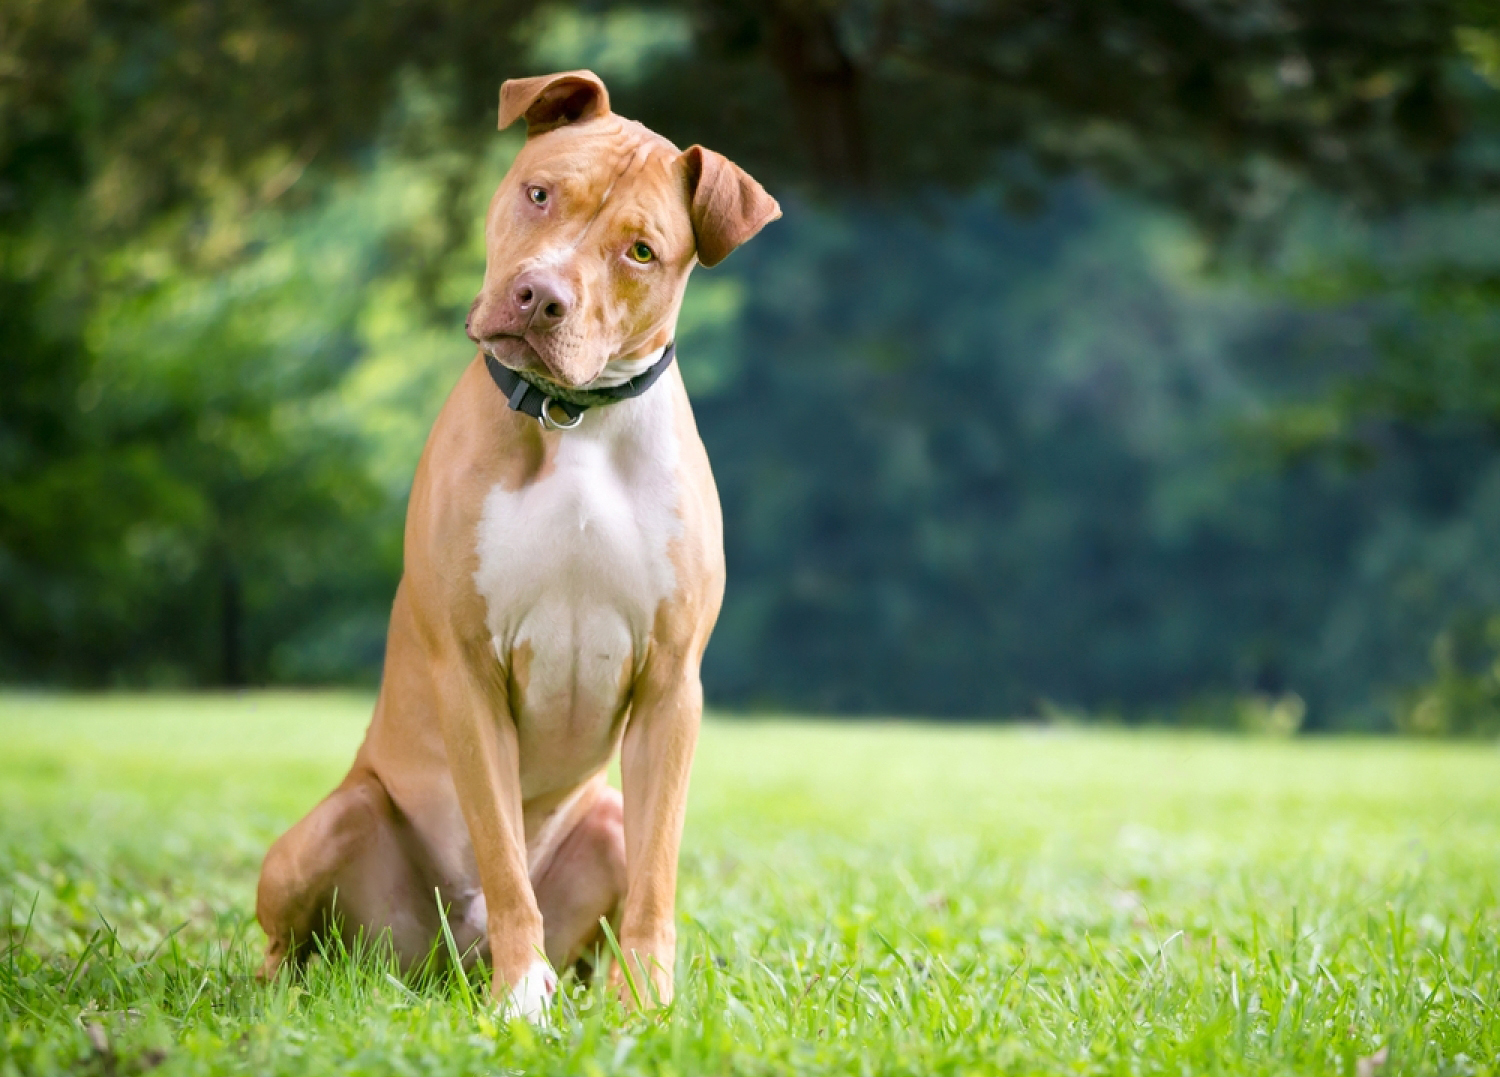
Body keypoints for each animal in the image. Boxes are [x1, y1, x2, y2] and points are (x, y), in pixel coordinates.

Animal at [252, 69, 780, 1020]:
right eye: (539, 194)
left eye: (640, 251)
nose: (540, 296)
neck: (571, 419)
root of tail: (439, 962)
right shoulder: (470, 671)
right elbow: (501, 856)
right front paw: (519, 995)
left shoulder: (671, 684)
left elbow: (657, 875)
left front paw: (645, 1003)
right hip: (335, 826)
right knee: (289, 943)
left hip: (603, 817)